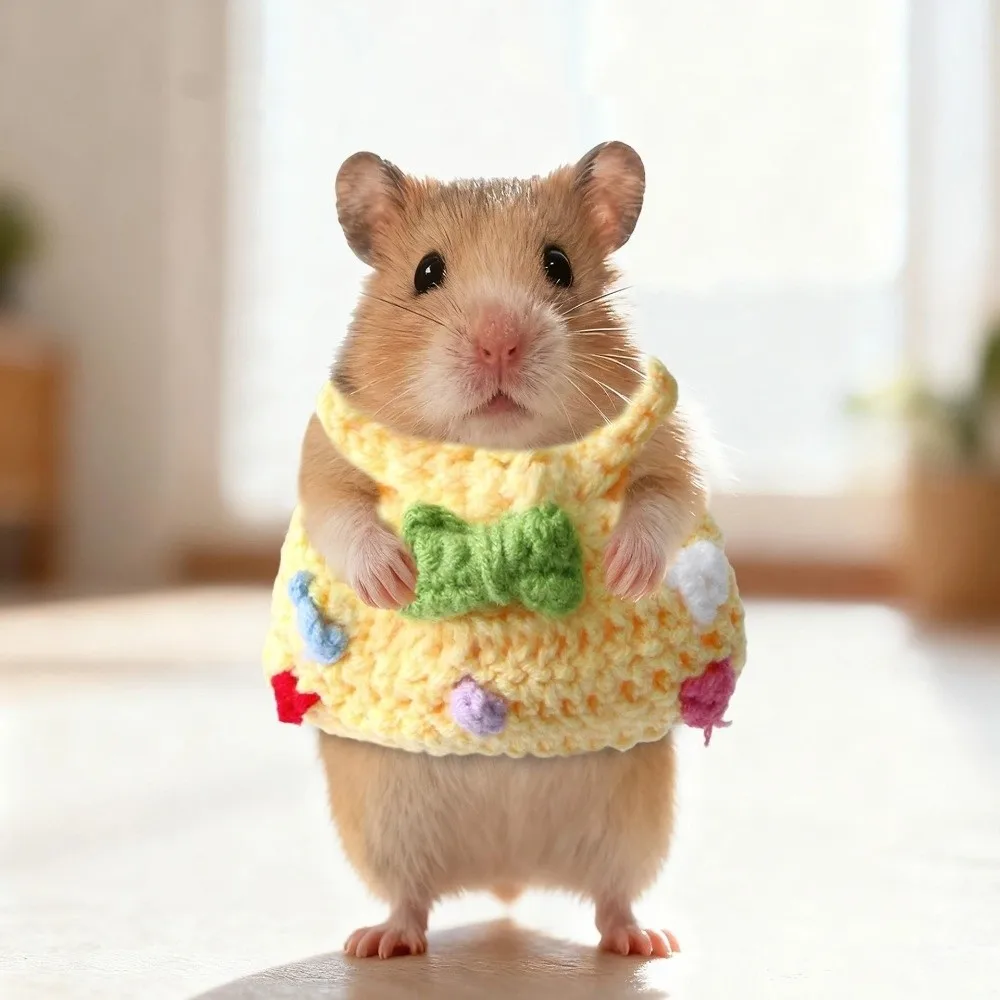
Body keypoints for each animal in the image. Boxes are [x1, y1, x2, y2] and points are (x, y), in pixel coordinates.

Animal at [299, 142, 706, 959]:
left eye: (558, 265)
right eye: (426, 271)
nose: (499, 343)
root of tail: (507, 875)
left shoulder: (670, 450)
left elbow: (661, 502)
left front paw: (624, 570)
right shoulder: (322, 455)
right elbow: (341, 513)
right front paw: (394, 581)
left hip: (638, 828)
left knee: (614, 898)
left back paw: (646, 943)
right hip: (382, 828)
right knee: (409, 898)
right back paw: (380, 944)